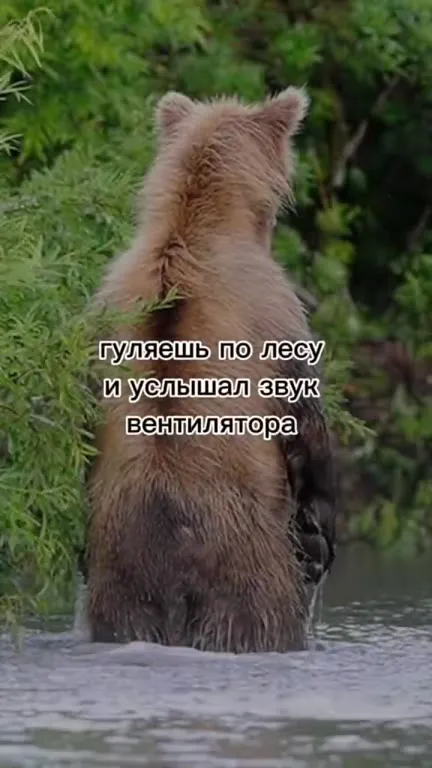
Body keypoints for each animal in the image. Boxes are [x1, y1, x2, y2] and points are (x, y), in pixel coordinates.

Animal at [84, 87, 336, 652]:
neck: (194, 225)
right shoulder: (273, 308)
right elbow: (304, 417)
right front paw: (321, 531)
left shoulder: (102, 304)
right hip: (250, 576)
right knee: (266, 615)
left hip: (125, 589)